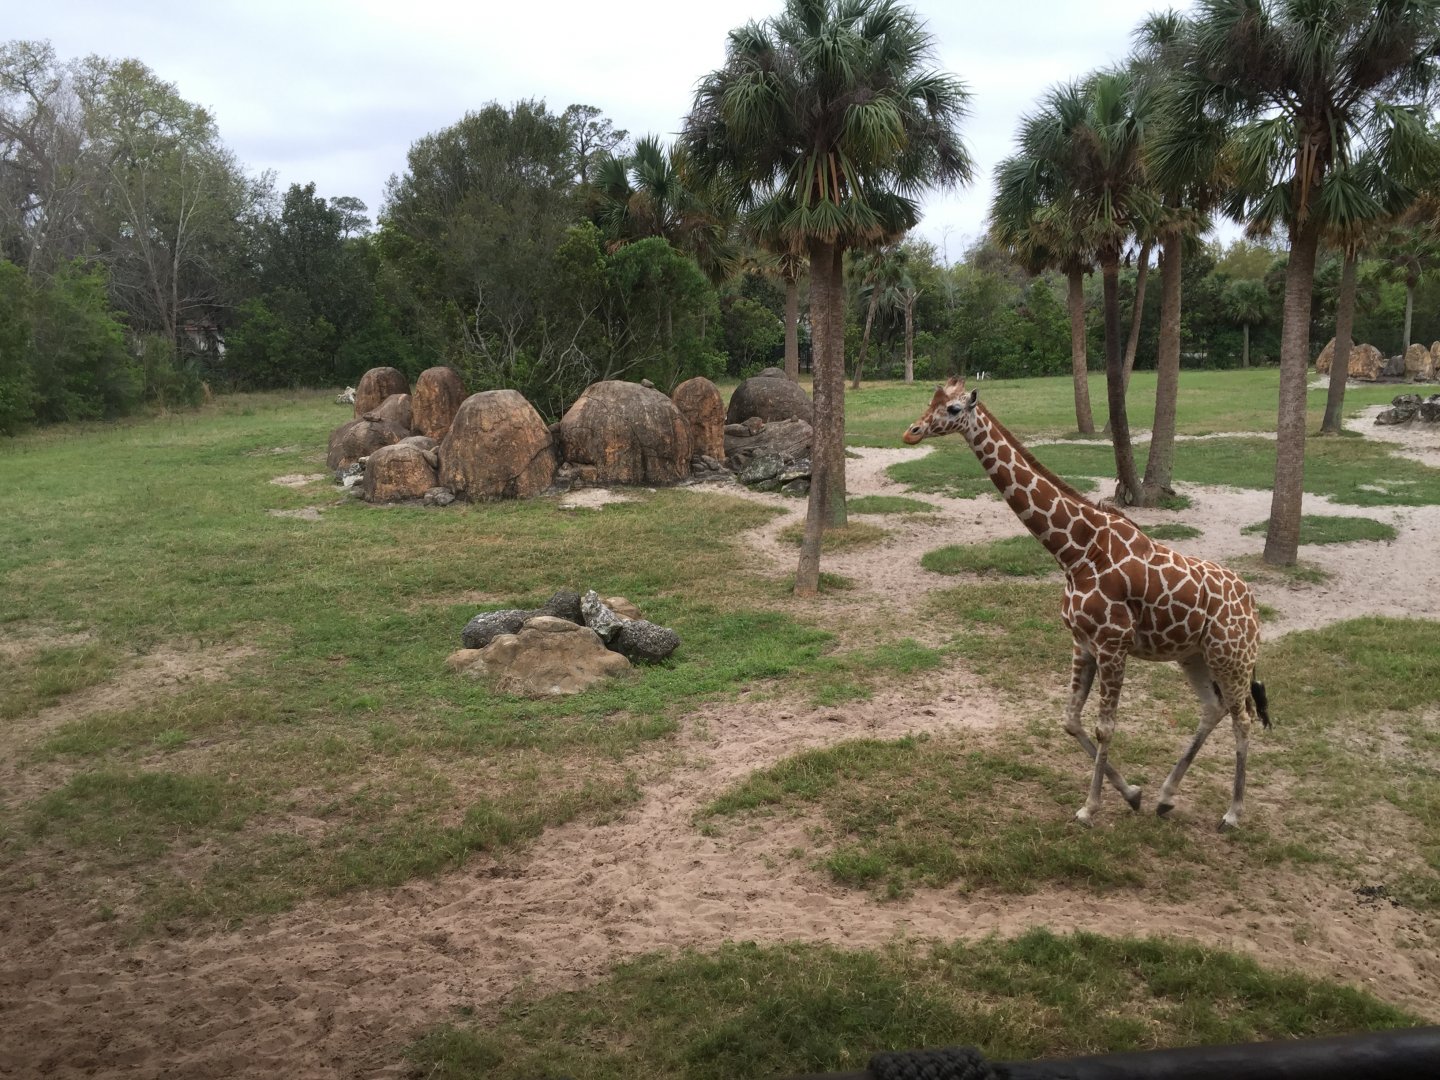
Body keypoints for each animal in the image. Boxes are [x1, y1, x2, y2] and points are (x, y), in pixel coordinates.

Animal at [903, 377, 1270, 830]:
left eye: (954, 408)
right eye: (931, 400)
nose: (912, 432)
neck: (1076, 551)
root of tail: (1252, 603)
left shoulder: (1113, 644)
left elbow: (1104, 727)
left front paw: (1090, 807)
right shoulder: (1083, 643)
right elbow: (1070, 720)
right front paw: (1133, 793)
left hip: (1231, 656)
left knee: (1243, 719)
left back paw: (1232, 813)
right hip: (1194, 655)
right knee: (1213, 708)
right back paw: (1166, 797)